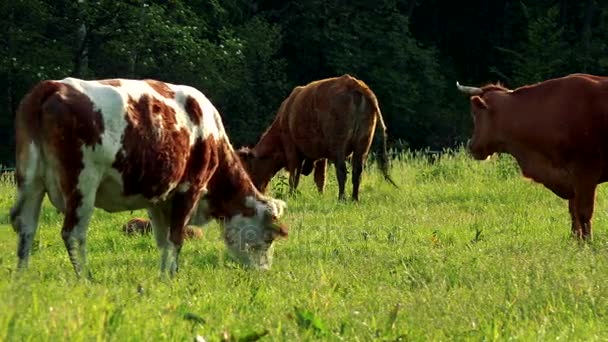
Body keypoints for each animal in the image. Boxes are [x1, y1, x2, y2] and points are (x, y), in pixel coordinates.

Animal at [8, 77, 290, 278]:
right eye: (269, 238)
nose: (263, 271)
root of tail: (51, 87)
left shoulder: (159, 199)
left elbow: (163, 240)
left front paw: (163, 276)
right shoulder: (190, 188)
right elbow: (176, 238)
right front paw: (172, 276)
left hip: (30, 181)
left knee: (26, 227)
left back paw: (22, 276)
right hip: (82, 183)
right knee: (73, 233)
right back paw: (85, 278)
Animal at [238, 73, 400, 200]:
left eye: (247, 169)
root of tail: (353, 83)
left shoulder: (292, 148)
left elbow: (294, 175)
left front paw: (292, 195)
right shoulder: (321, 155)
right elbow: (320, 178)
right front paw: (320, 196)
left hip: (338, 144)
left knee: (342, 171)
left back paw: (341, 198)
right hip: (362, 144)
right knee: (357, 171)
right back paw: (354, 198)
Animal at [458, 73, 608, 238]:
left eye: (475, 114)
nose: (471, 145)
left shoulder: (585, 174)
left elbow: (583, 213)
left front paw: (588, 242)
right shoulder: (570, 179)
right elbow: (573, 213)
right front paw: (576, 240)